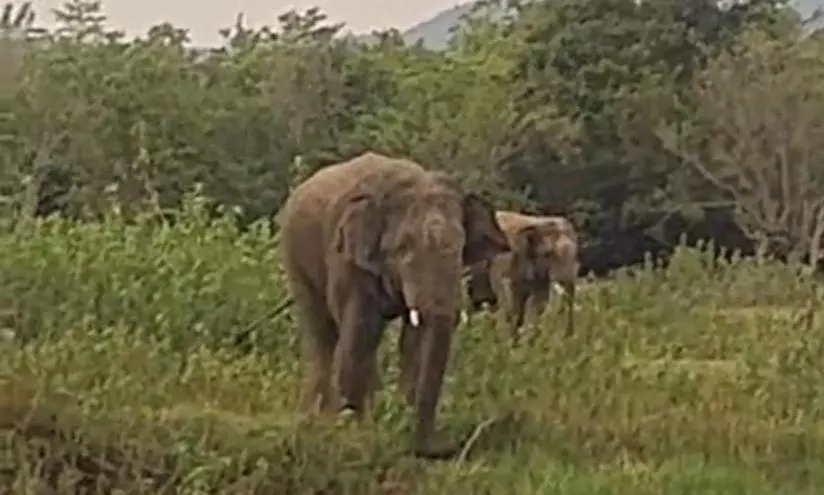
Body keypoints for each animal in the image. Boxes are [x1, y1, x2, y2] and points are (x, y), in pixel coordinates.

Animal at [278, 151, 510, 458]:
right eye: (403, 249)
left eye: (460, 248)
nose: (444, 448)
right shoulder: (346, 258)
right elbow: (361, 327)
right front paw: (355, 431)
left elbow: (414, 339)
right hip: (295, 256)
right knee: (322, 332)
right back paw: (317, 418)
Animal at [465, 211, 579, 344]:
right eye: (548, 253)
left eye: (576, 253)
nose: (569, 336)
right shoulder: (504, 260)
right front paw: (515, 341)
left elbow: (538, 301)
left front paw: (529, 341)